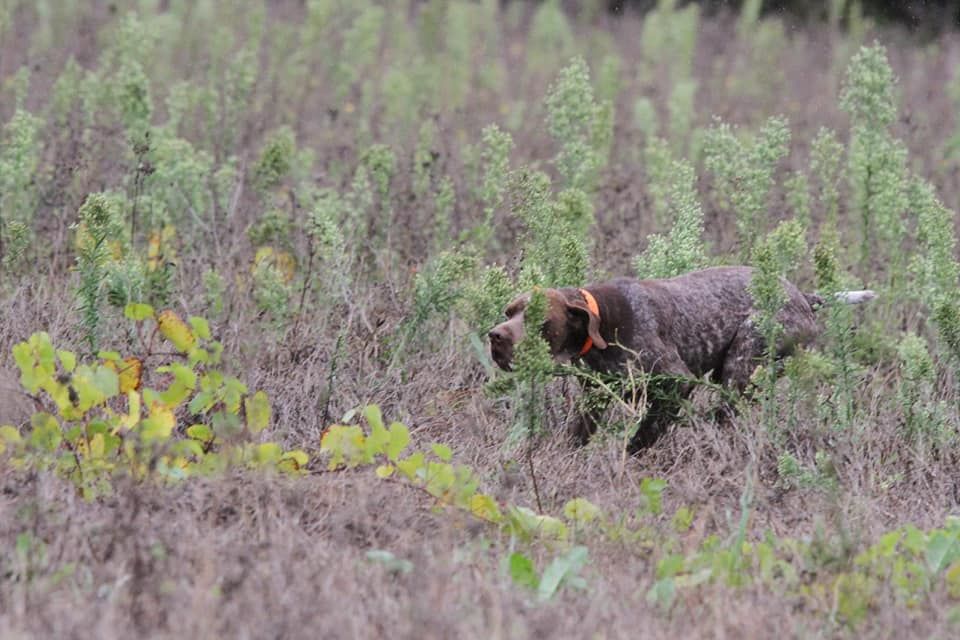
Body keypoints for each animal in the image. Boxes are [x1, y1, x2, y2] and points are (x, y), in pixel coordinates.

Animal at [492, 264, 872, 450]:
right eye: (509, 311)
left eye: (540, 321)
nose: (494, 336)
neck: (605, 321)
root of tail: (804, 297)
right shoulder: (595, 398)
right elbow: (577, 436)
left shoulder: (676, 381)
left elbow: (646, 432)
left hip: (742, 362)